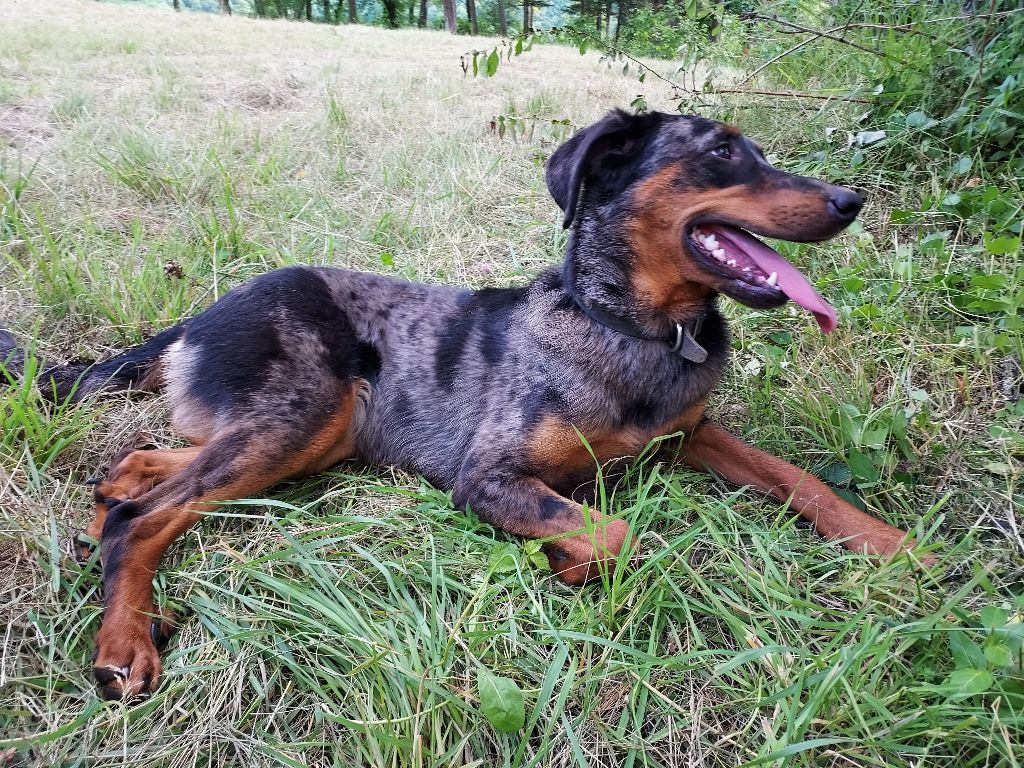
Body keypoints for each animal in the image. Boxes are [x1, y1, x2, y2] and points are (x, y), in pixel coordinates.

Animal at [0, 109, 925, 704]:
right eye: (726, 151)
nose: (851, 202)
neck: (628, 328)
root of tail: (198, 315)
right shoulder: (486, 476)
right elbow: (617, 534)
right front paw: (568, 558)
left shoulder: (694, 435)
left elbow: (799, 478)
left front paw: (887, 542)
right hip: (305, 411)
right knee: (150, 514)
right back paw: (125, 636)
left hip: (316, 431)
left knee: (139, 467)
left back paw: (101, 522)